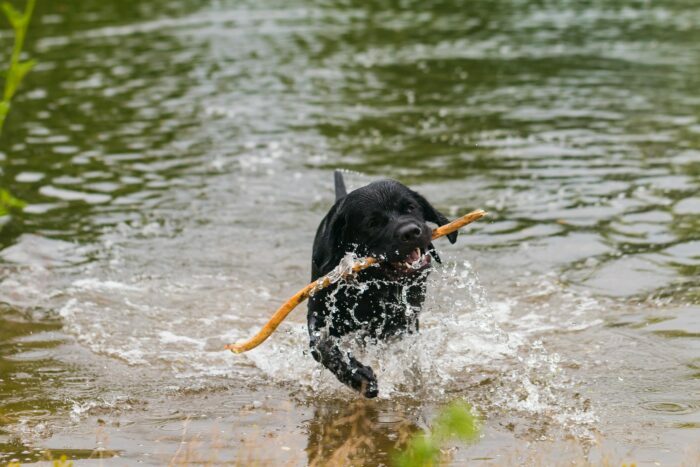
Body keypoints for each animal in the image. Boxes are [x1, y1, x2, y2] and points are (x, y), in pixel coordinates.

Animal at [308, 172, 456, 398]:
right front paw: (357, 375)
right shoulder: (319, 311)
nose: (410, 232)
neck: (370, 284)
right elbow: (321, 345)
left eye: (410, 207)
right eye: (373, 223)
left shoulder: (401, 320)